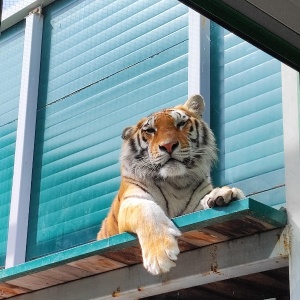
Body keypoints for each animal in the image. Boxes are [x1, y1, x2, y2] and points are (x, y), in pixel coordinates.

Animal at [97, 95, 245, 276]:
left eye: (180, 124)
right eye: (150, 130)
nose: (168, 146)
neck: (176, 181)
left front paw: (224, 193)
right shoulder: (133, 201)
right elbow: (147, 212)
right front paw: (160, 255)